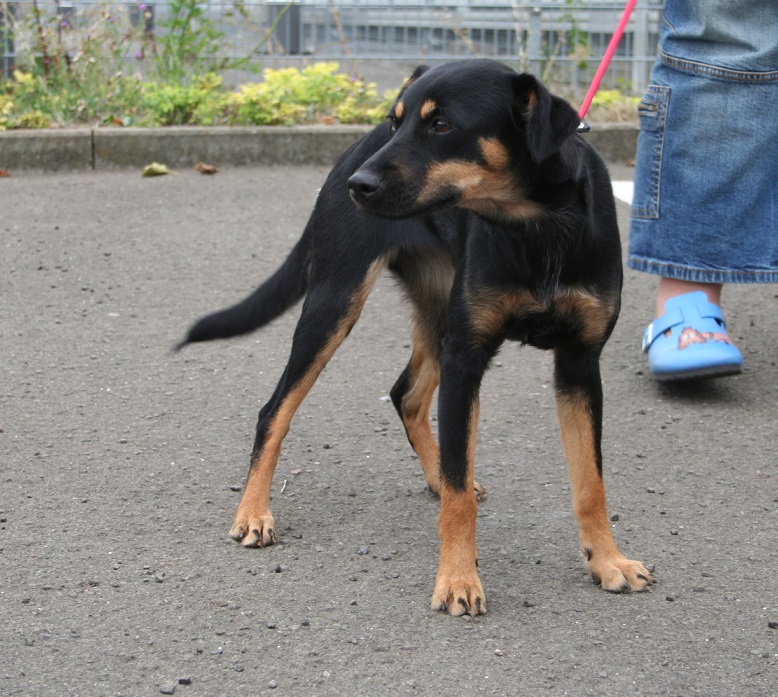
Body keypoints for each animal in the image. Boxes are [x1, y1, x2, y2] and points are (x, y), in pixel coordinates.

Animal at [178, 59, 653, 616]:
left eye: (441, 125)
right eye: (396, 120)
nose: (359, 186)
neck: (538, 227)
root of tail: (350, 153)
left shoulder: (578, 363)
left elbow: (590, 484)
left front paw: (607, 560)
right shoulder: (467, 358)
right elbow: (459, 495)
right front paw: (457, 579)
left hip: (437, 313)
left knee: (406, 394)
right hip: (336, 302)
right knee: (274, 410)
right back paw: (253, 512)